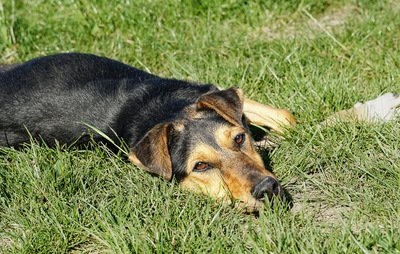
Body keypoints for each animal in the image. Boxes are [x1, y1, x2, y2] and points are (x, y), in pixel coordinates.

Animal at [0, 52, 400, 211]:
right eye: (201, 167)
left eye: (239, 139)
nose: (268, 189)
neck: (166, 110)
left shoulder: (211, 93)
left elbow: (287, 119)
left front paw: (378, 109)